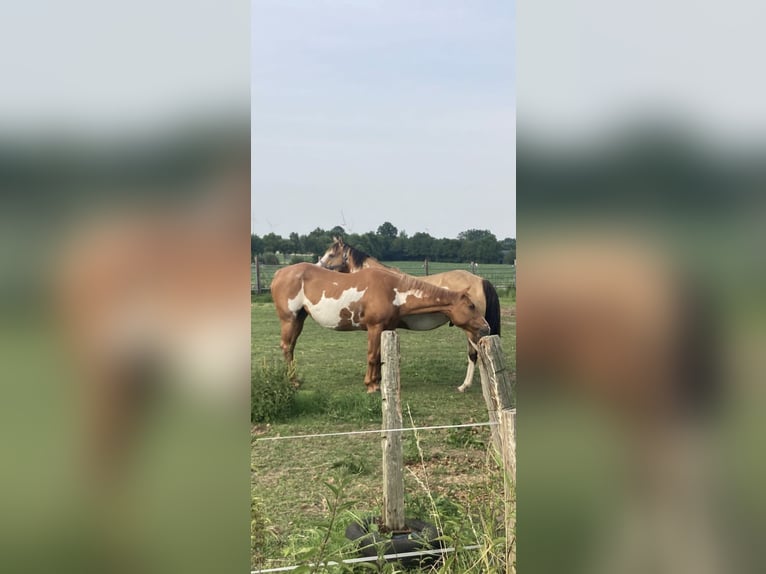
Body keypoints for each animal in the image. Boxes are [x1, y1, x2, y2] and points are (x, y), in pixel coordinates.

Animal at [270, 264, 488, 394]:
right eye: (471, 306)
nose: (486, 327)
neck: (394, 290)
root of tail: (279, 273)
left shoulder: (386, 328)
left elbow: (381, 355)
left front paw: (378, 381)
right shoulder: (374, 327)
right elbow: (373, 356)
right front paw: (371, 385)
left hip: (299, 319)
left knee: (290, 347)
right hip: (289, 319)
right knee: (287, 347)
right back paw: (293, 382)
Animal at [318, 236, 504, 394]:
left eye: (331, 254)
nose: (317, 268)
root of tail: (480, 280)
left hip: (472, 330)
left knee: (476, 354)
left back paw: (465, 386)